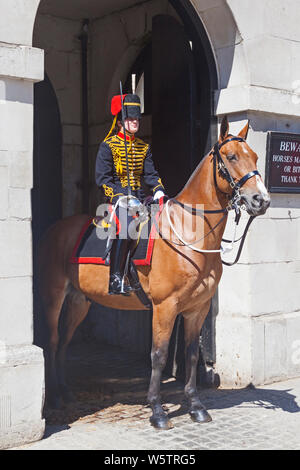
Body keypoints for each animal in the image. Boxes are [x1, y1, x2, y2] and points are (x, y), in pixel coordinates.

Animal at [36, 116, 270, 430]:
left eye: (255, 156)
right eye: (231, 157)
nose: (262, 200)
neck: (190, 233)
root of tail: (55, 229)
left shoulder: (198, 308)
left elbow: (191, 354)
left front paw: (196, 406)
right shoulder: (164, 307)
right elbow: (158, 356)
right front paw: (157, 410)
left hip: (79, 302)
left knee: (63, 342)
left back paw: (65, 392)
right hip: (53, 296)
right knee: (50, 342)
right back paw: (54, 399)